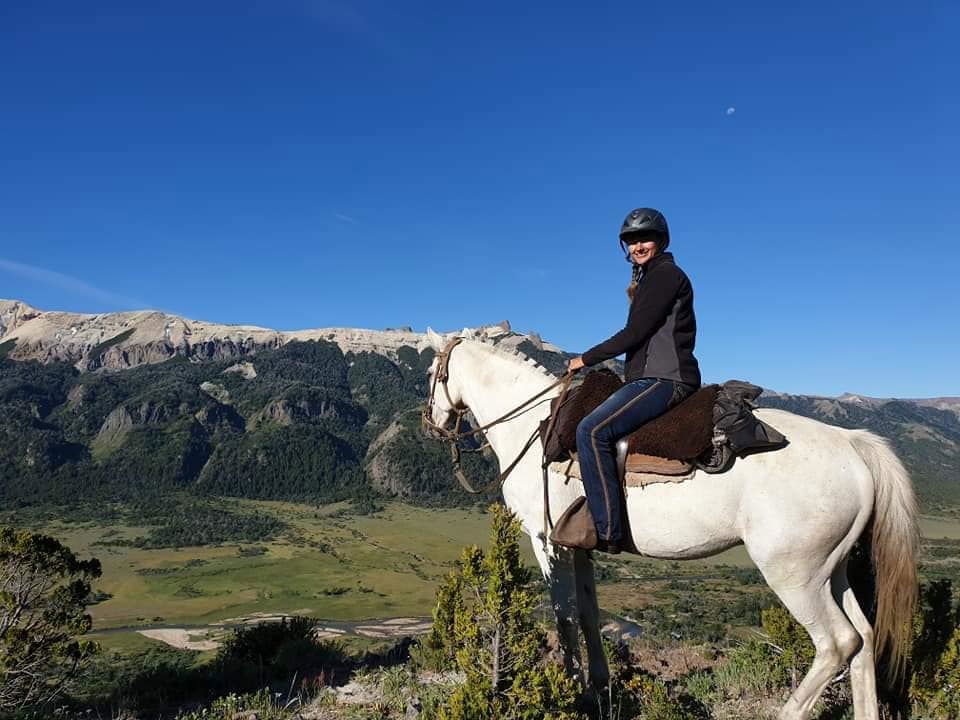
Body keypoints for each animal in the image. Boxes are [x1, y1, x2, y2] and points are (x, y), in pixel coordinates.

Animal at [422, 328, 919, 720]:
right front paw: (598, 690)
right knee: (864, 639)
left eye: (430, 372)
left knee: (837, 643)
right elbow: (588, 614)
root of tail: (851, 442)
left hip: (794, 574)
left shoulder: (549, 543)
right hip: (830, 570)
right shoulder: (578, 545)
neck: (533, 427)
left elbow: (563, 616)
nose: (430, 424)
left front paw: (573, 693)